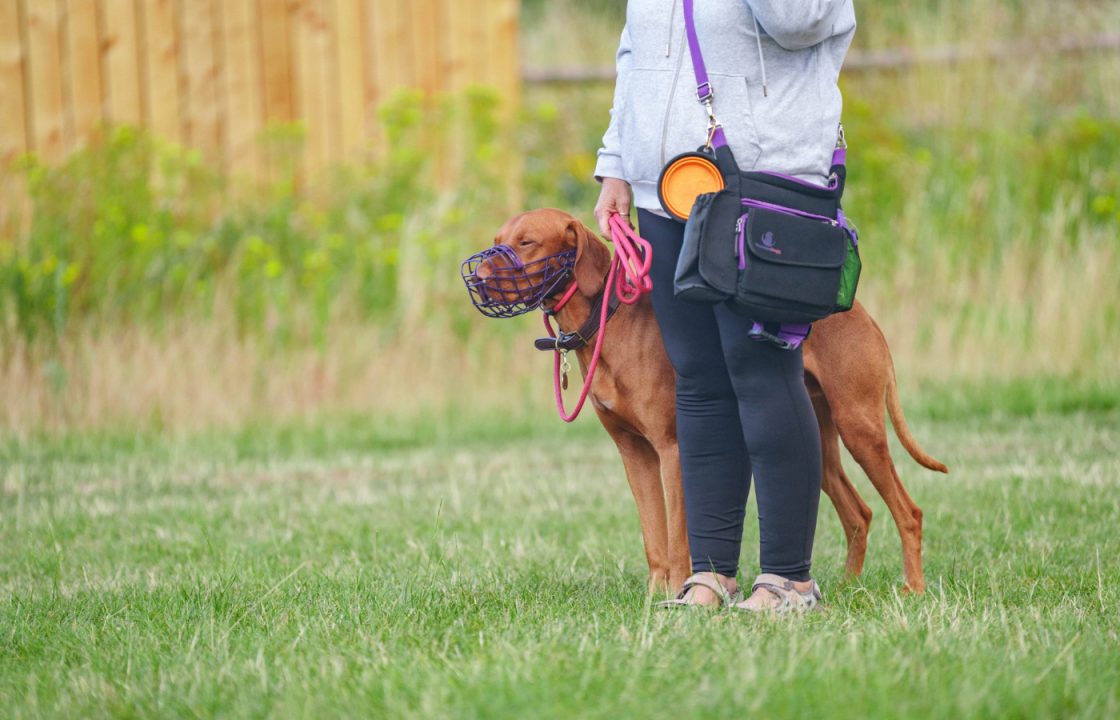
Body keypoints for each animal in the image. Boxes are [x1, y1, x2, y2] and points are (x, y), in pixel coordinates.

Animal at [472, 206, 945, 595]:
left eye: (527, 242)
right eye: (500, 236)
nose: (475, 279)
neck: (609, 321)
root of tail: (864, 315)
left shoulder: (673, 448)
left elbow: (678, 535)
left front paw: (681, 592)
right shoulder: (635, 454)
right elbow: (653, 537)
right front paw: (654, 598)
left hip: (859, 428)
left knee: (909, 512)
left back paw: (914, 589)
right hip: (818, 444)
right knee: (859, 513)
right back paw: (847, 588)